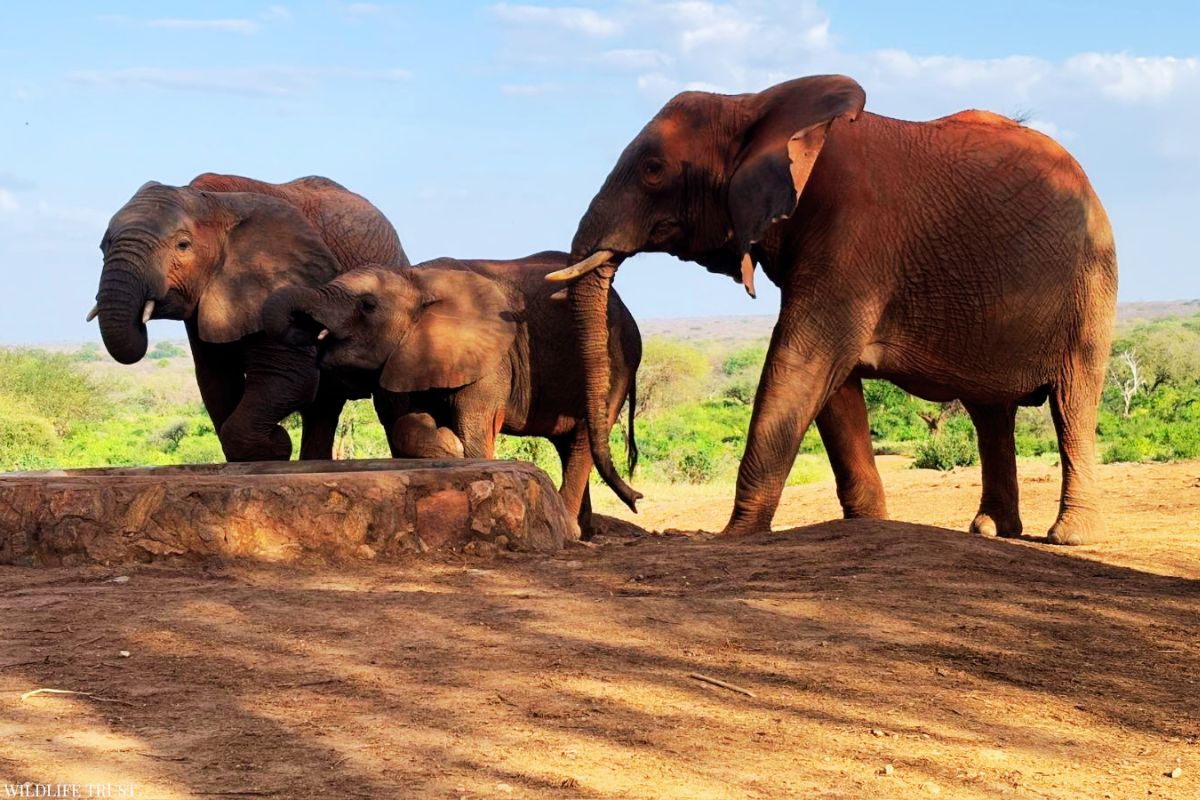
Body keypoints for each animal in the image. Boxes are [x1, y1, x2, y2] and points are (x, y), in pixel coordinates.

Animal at [90, 173, 409, 461]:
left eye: (182, 245)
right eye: (104, 245)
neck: (213, 202)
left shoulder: (277, 277)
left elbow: (288, 376)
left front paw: (275, 445)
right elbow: (216, 378)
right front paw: (269, 448)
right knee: (323, 406)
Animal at [263, 251, 642, 534]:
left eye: (368, 306)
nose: (306, 329)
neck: (416, 279)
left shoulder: (492, 359)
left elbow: (473, 427)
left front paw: (458, 451)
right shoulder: (405, 356)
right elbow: (402, 423)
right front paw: (446, 446)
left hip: (615, 363)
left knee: (580, 442)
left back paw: (572, 529)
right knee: (570, 445)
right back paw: (583, 530)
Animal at [549, 74, 1117, 544]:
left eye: (653, 170)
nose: (639, 499)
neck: (753, 104)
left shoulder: (853, 236)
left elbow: (799, 363)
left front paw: (726, 537)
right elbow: (831, 388)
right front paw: (870, 522)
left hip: (1090, 288)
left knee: (1072, 403)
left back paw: (1067, 537)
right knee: (990, 412)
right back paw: (990, 530)